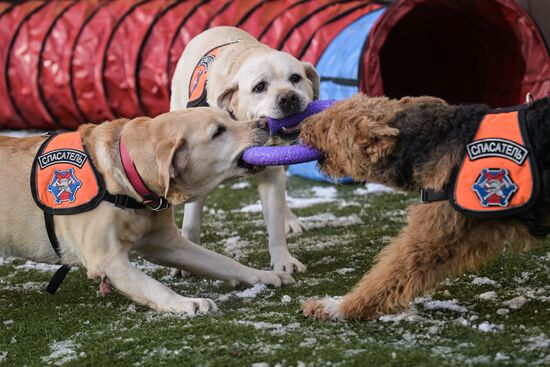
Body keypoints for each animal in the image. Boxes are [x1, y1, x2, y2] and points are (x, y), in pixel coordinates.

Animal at [0, 108, 296, 314]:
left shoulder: (167, 244)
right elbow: (154, 286)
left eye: (230, 116)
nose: (264, 123)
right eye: (218, 131)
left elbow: (224, 262)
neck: (126, 177)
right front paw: (187, 302)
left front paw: (265, 275)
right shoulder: (106, 259)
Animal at [170, 26, 322, 274]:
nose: (288, 97)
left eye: (295, 78)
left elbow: (275, 223)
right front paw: (187, 260)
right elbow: (191, 224)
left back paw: (290, 220)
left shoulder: (271, 174)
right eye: (259, 87)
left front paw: (284, 261)